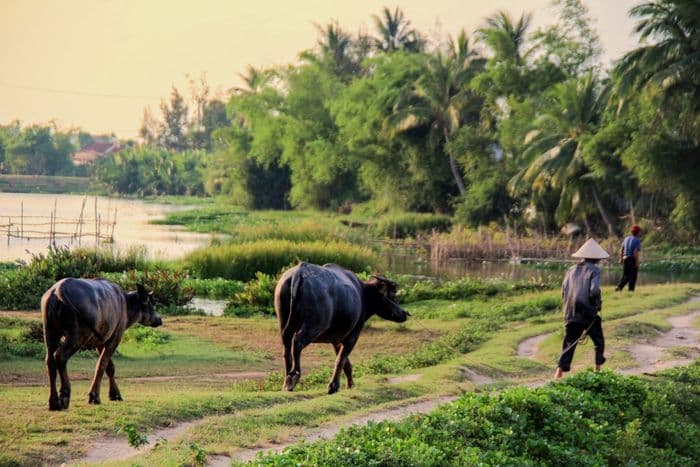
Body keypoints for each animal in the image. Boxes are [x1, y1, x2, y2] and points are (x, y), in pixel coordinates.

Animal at [43, 278, 163, 410]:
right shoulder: (115, 337)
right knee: (60, 356)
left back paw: (53, 402)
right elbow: (102, 364)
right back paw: (64, 397)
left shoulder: (100, 341)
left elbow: (110, 367)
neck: (125, 305)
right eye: (152, 304)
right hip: (77, 335)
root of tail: (59, 289)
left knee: (50, 361)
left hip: (50, 332)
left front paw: (115, 394)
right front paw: (95, 396)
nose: (160, 319)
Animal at [272, 264, 408, 394]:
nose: (405, 313)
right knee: (298, 342)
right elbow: (341, 360)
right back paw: (293, 377)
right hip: (314, 326)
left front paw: (350, 384)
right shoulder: (352, 335)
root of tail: (299, 274)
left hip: (284, 325)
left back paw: (286, 381)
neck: (363, 294)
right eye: (393, 293)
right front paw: (333, 386)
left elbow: (346, 363)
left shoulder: (336, 339)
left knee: (286, 349)